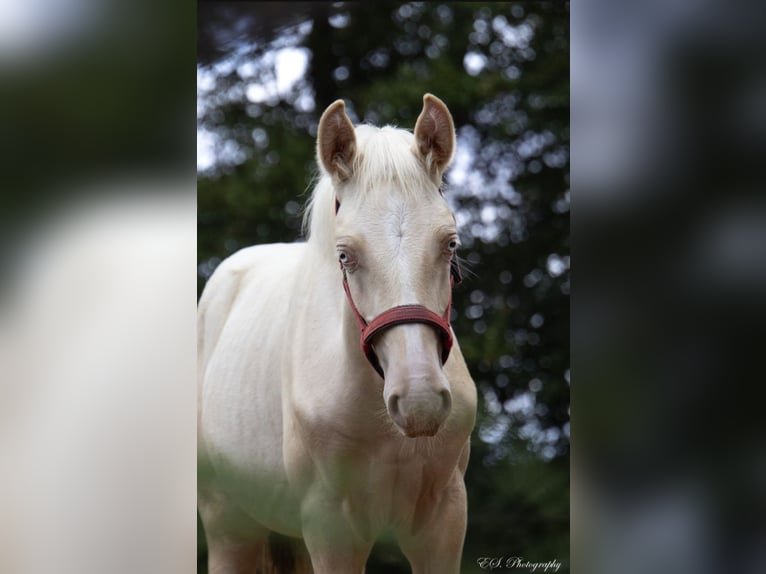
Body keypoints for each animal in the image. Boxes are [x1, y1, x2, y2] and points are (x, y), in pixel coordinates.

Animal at [201, 92, 480, 572]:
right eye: (345, 254)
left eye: (450, 244)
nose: (420, 402)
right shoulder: (331, 526)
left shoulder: (444, 519)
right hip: (228, 526)